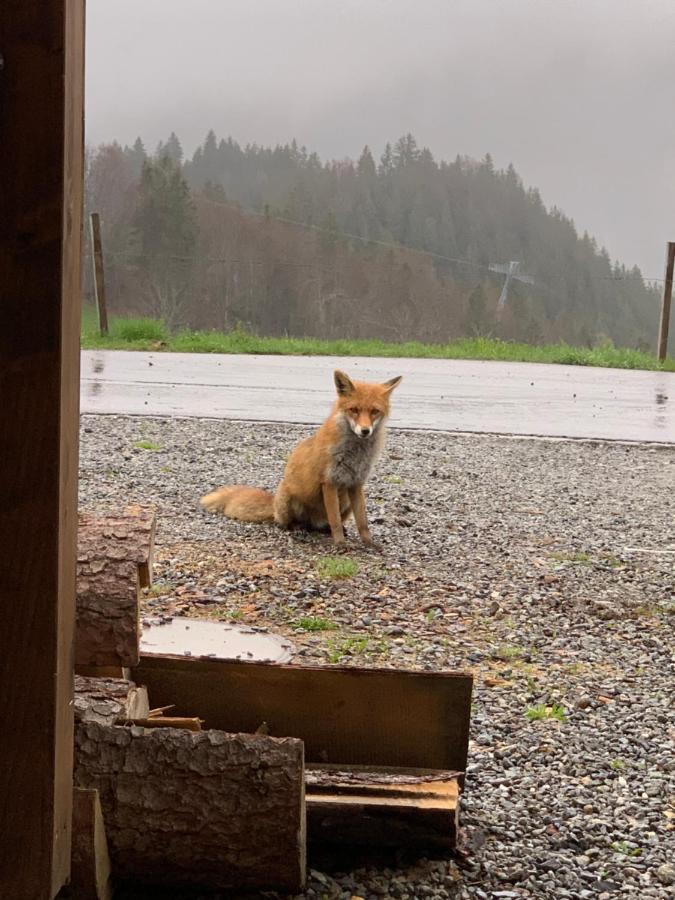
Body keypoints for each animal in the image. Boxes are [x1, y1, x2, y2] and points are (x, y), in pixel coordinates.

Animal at [199, 370, 402, 544]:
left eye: (374, 411)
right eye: (354, 410)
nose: (365, 431)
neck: (355, 454)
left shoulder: (356, 483)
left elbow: (362, 522)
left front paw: (369, 544)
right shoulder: (329, 482)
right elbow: (335, 520)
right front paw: (340, 545)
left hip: (345, 503)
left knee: (325, 525)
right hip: (289, 497)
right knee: (285, 523)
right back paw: (297, 527)